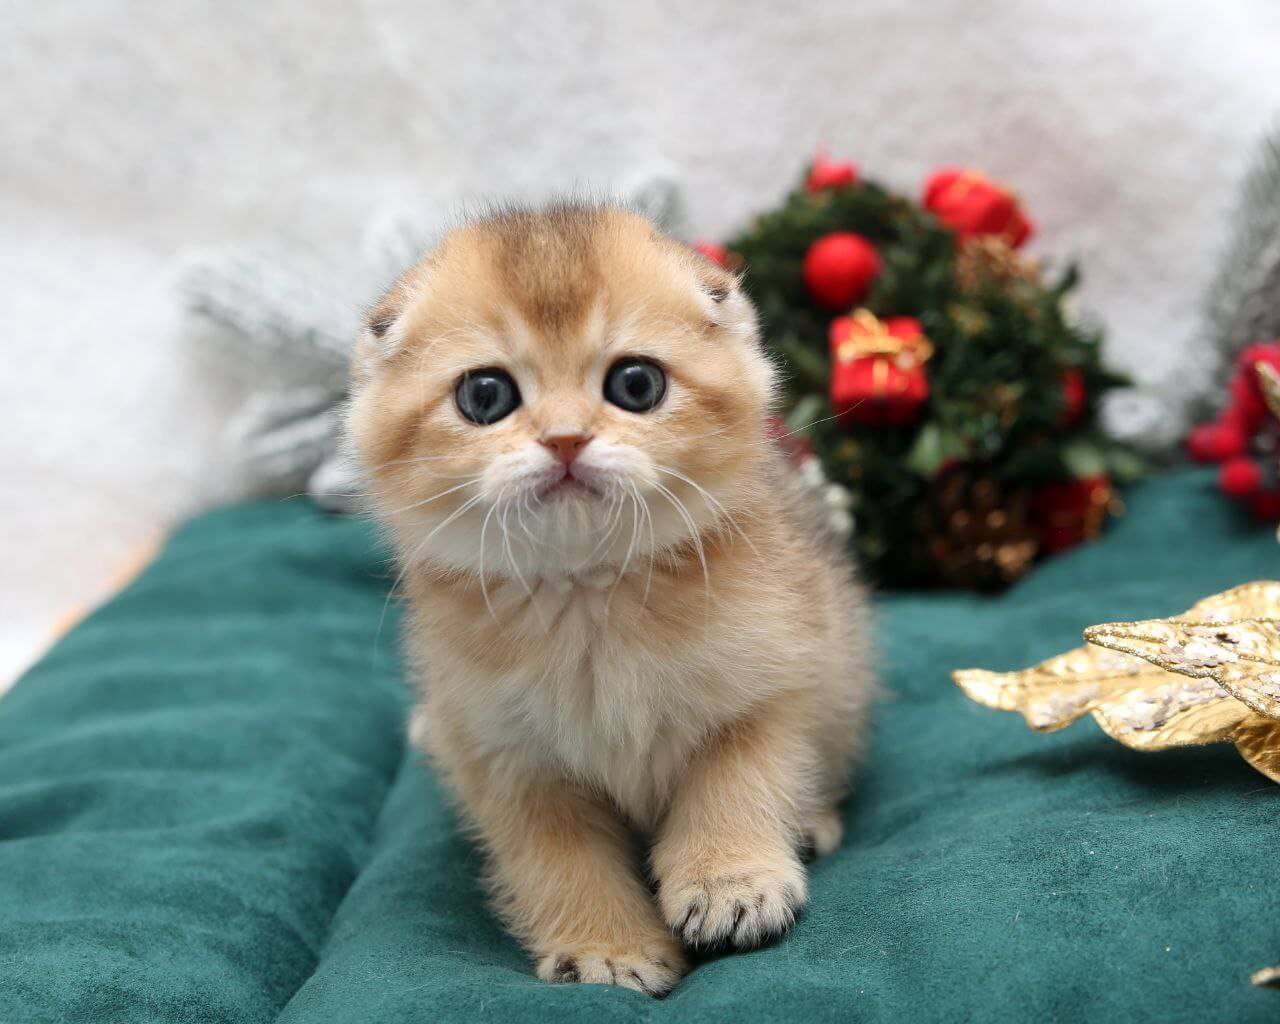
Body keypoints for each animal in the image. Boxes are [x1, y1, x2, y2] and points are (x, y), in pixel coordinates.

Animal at [345, 202, 873, 996]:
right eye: (485, 395)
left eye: (636, 384)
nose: (566, 440)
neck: (587, 593)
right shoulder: (507, 759)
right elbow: (561, 861)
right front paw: (608, 946)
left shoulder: (778, 679)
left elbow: (740, 778)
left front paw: (731, 881)